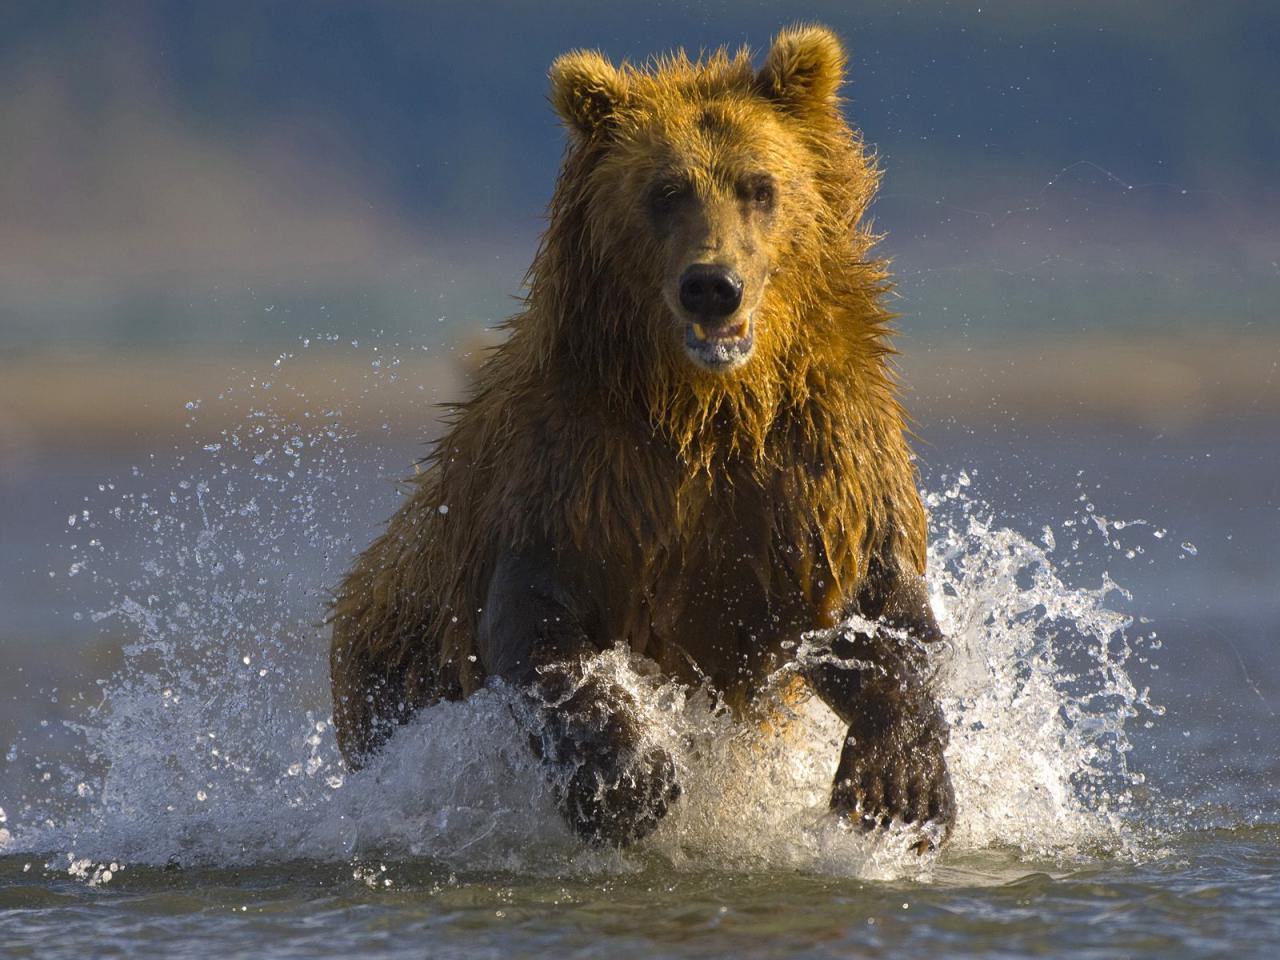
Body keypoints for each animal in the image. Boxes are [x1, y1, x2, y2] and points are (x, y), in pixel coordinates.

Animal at [327, 24, 952, 849]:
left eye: (759, 185)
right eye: (665, 191)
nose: (712, 285)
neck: (708, 408)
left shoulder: (818, 459)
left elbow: (877, 612)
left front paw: (899, 787)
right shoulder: (578, 471)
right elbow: (538, 627)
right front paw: (630, 783)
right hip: (393, 659)